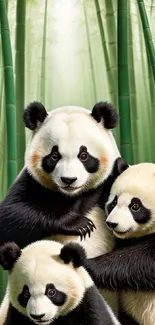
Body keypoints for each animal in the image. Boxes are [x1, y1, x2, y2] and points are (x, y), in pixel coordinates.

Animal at [0, 100, 123, 314]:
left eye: (84, 155)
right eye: (54, 155)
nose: (68, 180)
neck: (71, 196)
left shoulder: (109, 181)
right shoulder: (31, 184)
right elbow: (10, 217)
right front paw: (78, 224)